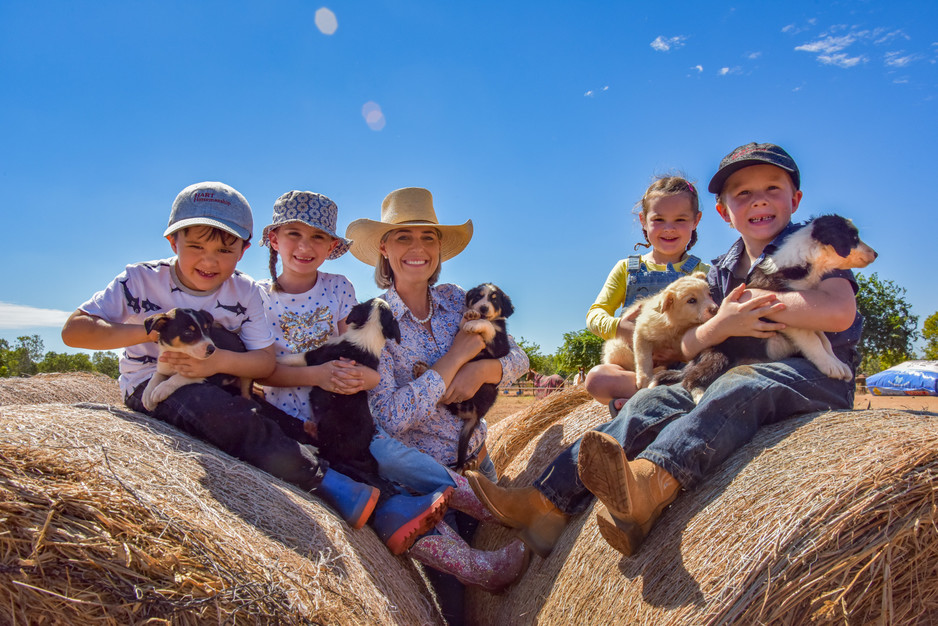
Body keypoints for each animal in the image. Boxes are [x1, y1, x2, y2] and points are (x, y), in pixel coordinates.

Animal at [274, 298, 398, 488]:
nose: (379, 299)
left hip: (330, 424)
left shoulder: (314, 357)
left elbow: (291, 358)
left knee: (327, 455)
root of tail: (362, 450)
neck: (370, 331)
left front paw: (273, 360)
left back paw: (311, 446)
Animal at [446, 282, 512, 468]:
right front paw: (471, 315)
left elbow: (488, 326)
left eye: (494, 300)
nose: (483, 308)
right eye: (478, 297)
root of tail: (475, 417)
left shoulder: (501, 346)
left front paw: (475, 323)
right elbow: (464, 323)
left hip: (484, 391)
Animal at [656, 214, 872, 400]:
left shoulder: (808, 313)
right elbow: (813, 341)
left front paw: (838, 364)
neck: (801, 262)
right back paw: (700, 395)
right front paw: (831, 366)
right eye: (853, 238)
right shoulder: (785, 314)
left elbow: (823, 340)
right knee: (689, 380)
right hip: (717, 356)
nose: (876, 254)